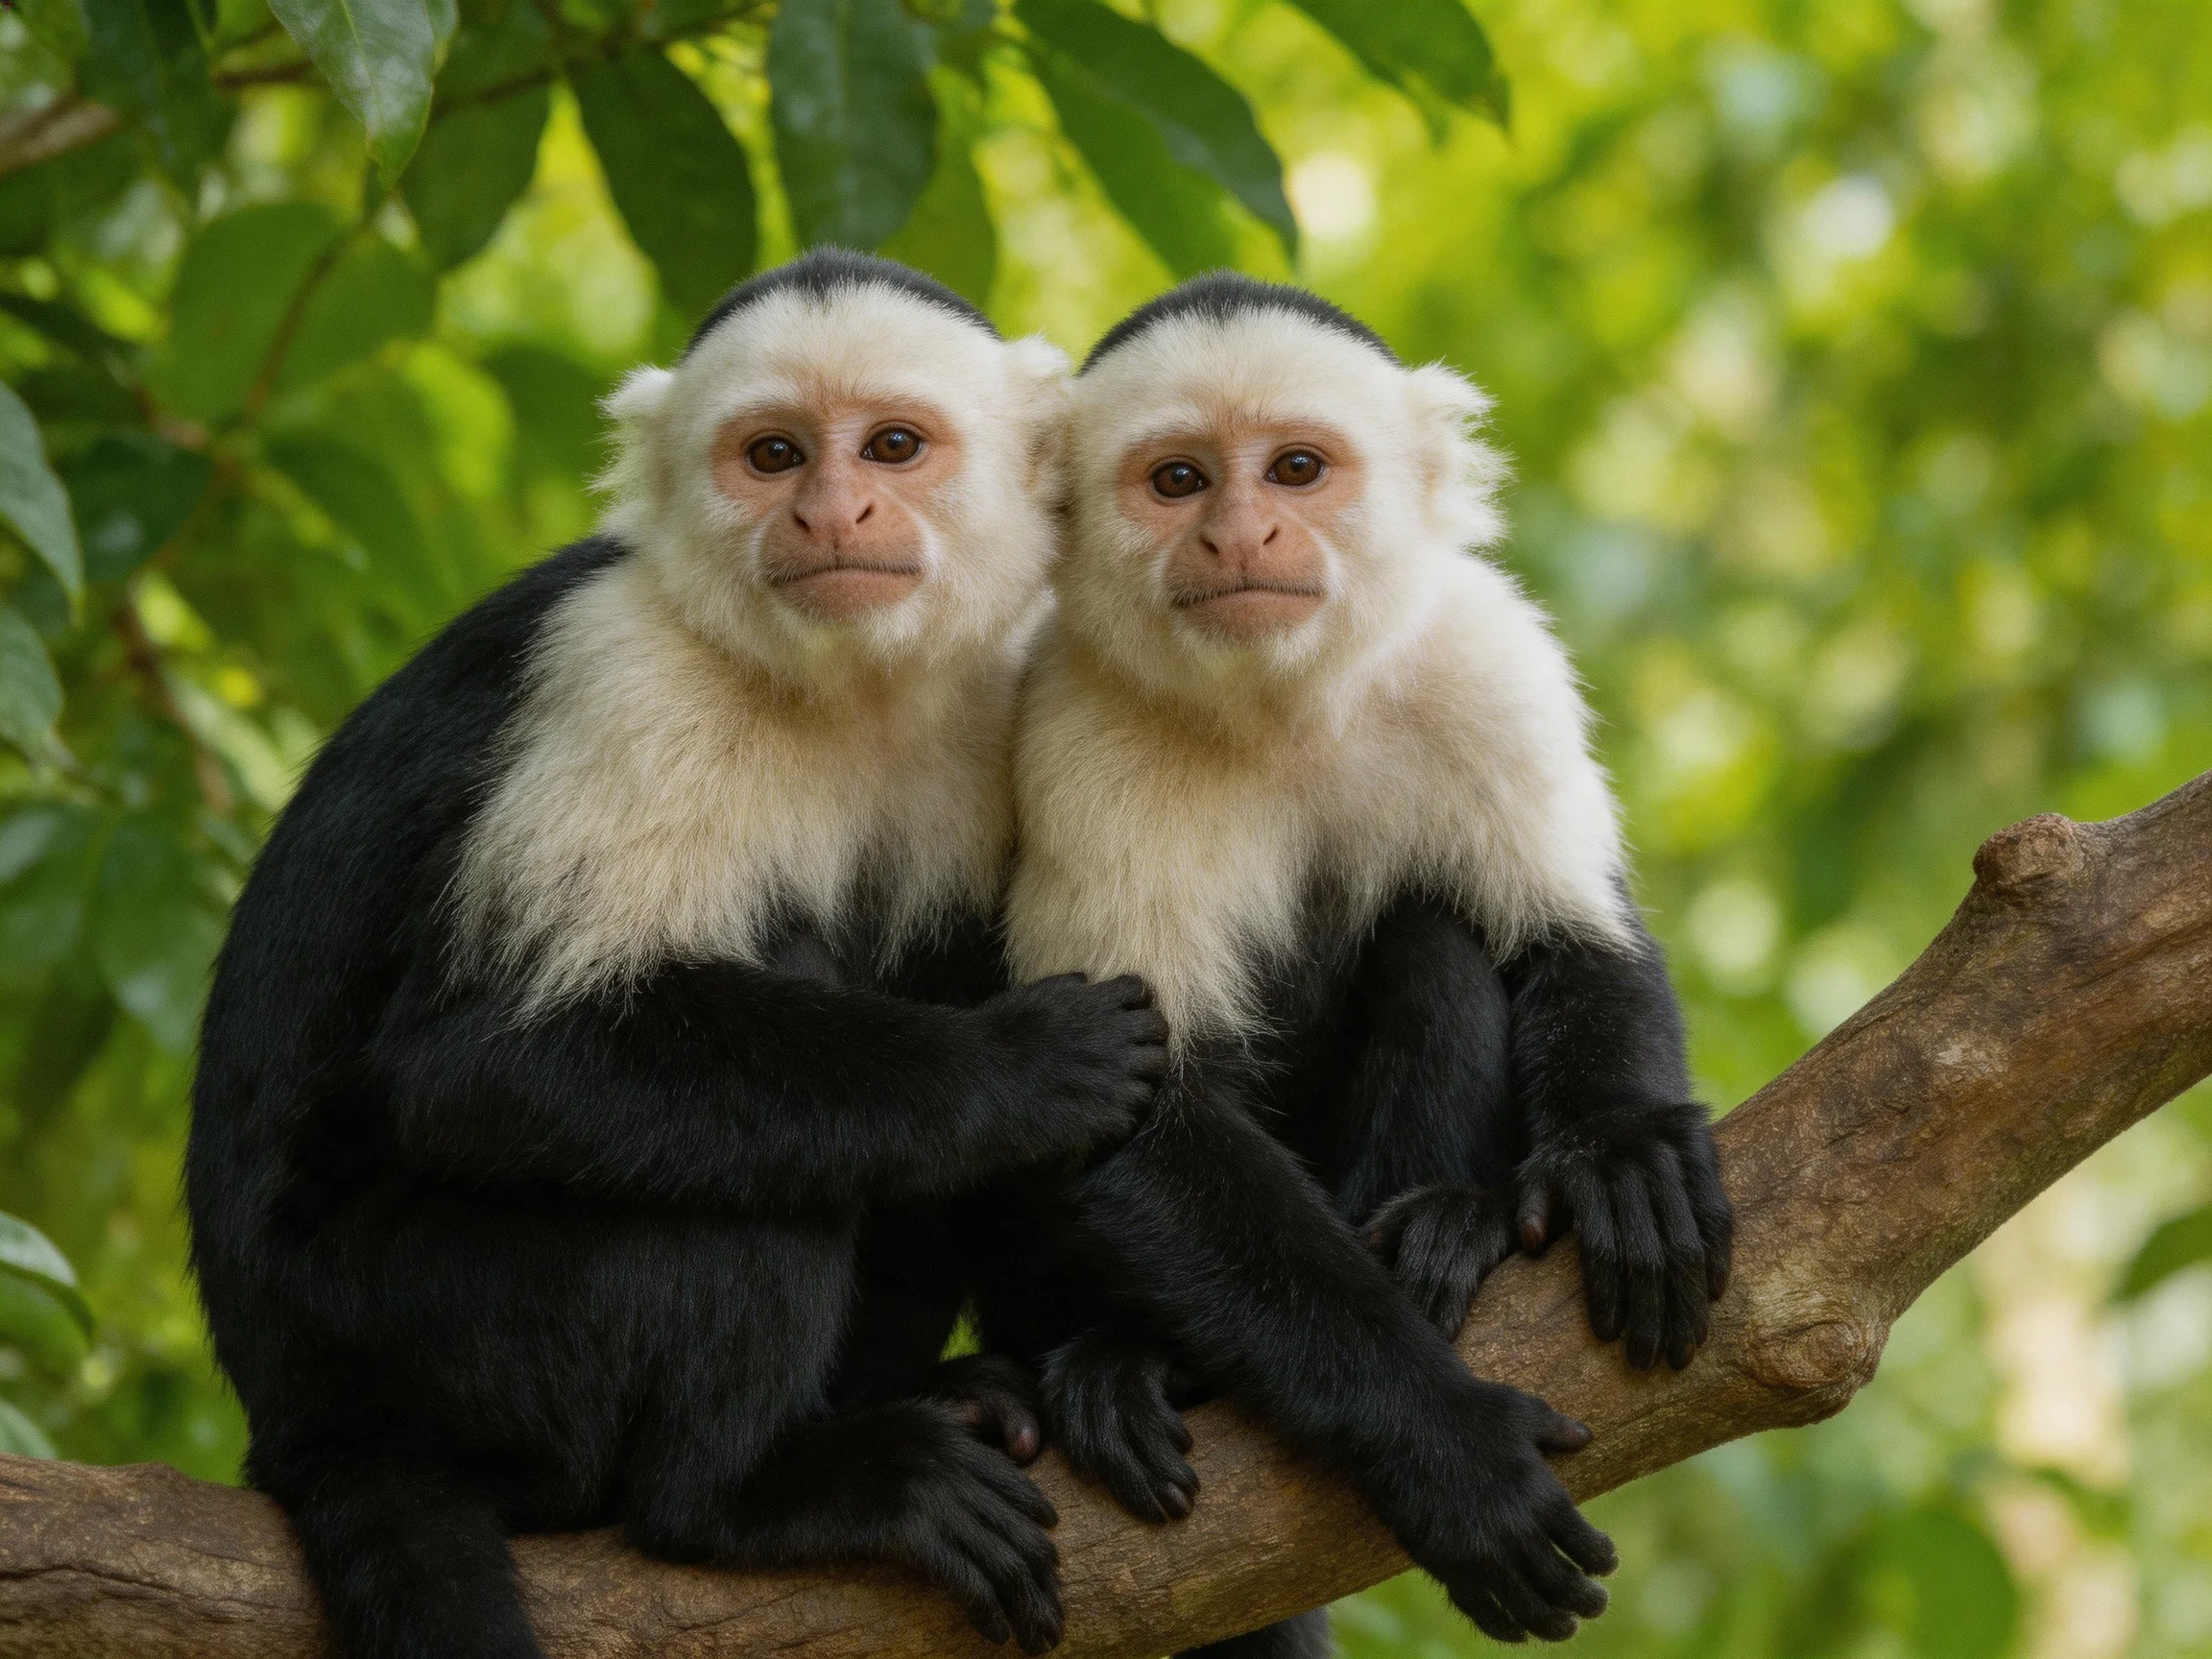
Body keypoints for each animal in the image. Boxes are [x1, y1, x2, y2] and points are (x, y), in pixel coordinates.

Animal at [186, 250, 1173, 1659]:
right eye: (773, 454)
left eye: (892, 445)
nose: (831, 510)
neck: (834, 689)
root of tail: (304, 1420)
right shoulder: (631, 676)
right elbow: (484, 1060)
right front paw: (1024, 1066)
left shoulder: (998, 696)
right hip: (431, 1332)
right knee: (734, 1165)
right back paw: (741, 1495)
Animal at [983, 274, 1732, 1654]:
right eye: (1178, 479)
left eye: (1296, 468)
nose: (1239, 535)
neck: (1284, 706)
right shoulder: (1080, 732)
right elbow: (1132, 1103)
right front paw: (1446, 1446)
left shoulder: (1493, 657)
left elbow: (1572, 935)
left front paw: (1624, 1156)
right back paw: (1134, 1364)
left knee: (1438, 941)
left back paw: (1448, 1227)